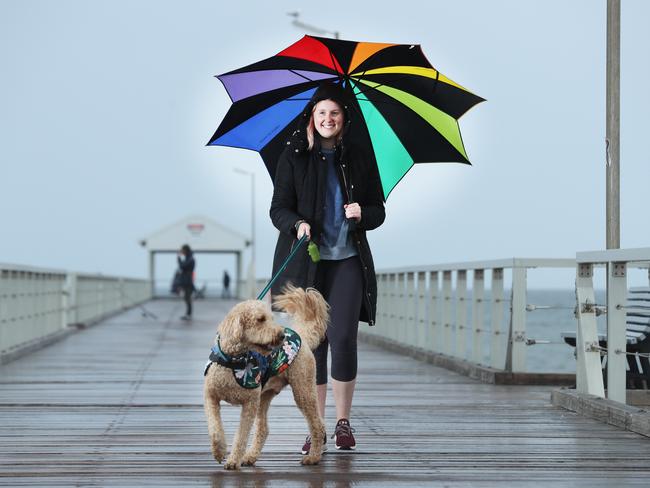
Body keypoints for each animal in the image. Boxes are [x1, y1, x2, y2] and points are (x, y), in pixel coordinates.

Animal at [204, 286, 330, 468]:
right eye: (260, 319)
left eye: (271, 318)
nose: (281, 335)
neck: (234, 361)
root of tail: (302, 336)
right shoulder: (211, 396)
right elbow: (215, 428)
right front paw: (219, 451)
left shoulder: (249, 403)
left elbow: (241, 435)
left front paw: (233, 461)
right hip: (264, 397)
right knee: (263, 429)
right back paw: (250, 456)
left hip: (303, 390)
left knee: (318, 425)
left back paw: (313, 457)